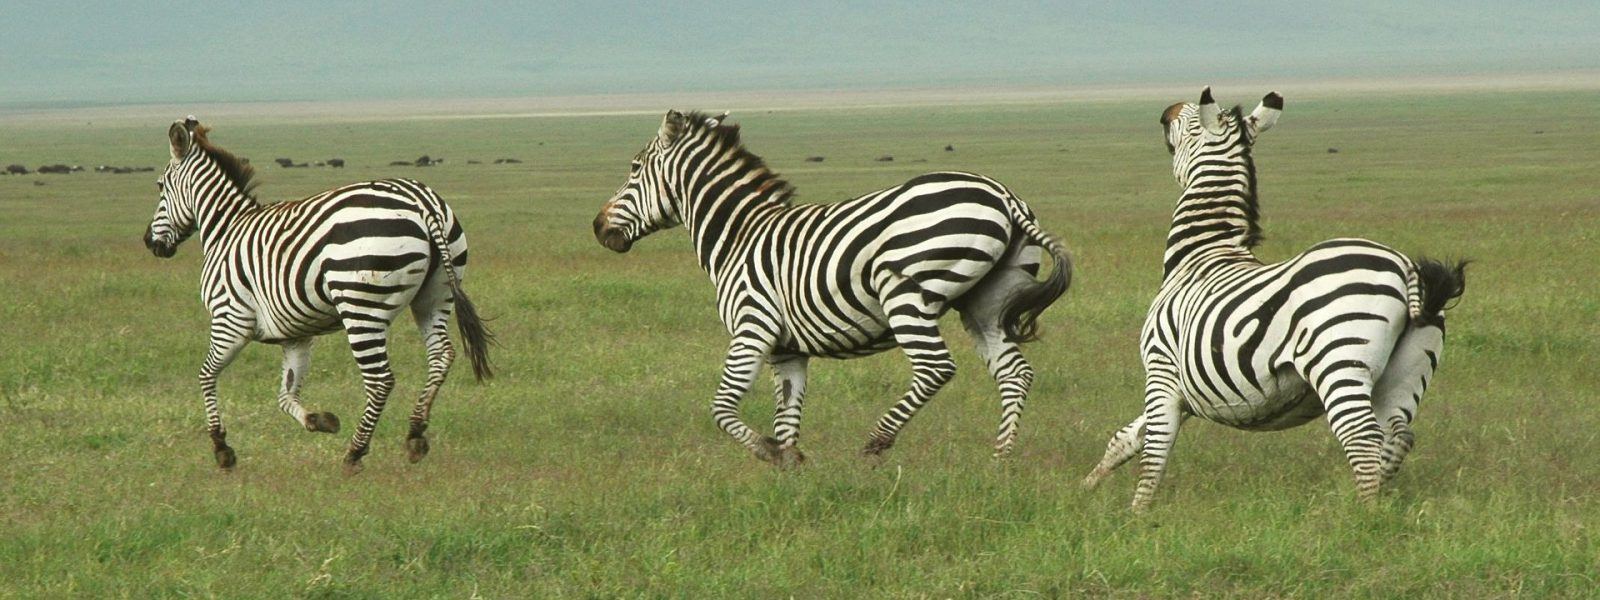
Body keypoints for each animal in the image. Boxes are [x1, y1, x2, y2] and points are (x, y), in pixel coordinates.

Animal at [142, 117, 493, 473]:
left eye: (159, 186)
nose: (149, 242)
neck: (225, 229)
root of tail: (421, 201)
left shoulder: (230, 319)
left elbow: (206, 375)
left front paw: (221, 447)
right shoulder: (295, 335)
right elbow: (285, 395)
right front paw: (320, 420)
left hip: (360, 307)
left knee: (380, 379)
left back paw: (355, 452)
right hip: (435, 296)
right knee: (440, 356)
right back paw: (415, 434)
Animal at [592, 110, 1071, 464]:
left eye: (634, 169)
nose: (598, 227)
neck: (739, 235)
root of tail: (1002, 194)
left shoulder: (752, 327)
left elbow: (722, 408)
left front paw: (769, 453)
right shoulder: (785, 349)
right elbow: (787, 416)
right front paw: (788, 472)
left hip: (905, 293)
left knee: (936, 368)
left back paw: (876, 442)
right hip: (987, 302)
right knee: (1015, 373)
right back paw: (1000, 459)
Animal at [1080, 89, 1467, 510]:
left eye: (1192, 123)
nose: (1165, 112)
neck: (1201, 252)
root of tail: (1405, 267)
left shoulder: (1161, 368)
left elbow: (1154, 450)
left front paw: (1138, 514)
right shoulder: (1184, 391)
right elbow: (1125, 438)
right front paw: (1085, 489)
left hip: (1339, 360)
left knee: (1362, 438)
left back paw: (1364, 514)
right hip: (1405, 372)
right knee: (1398, 435)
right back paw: (1372, 502)